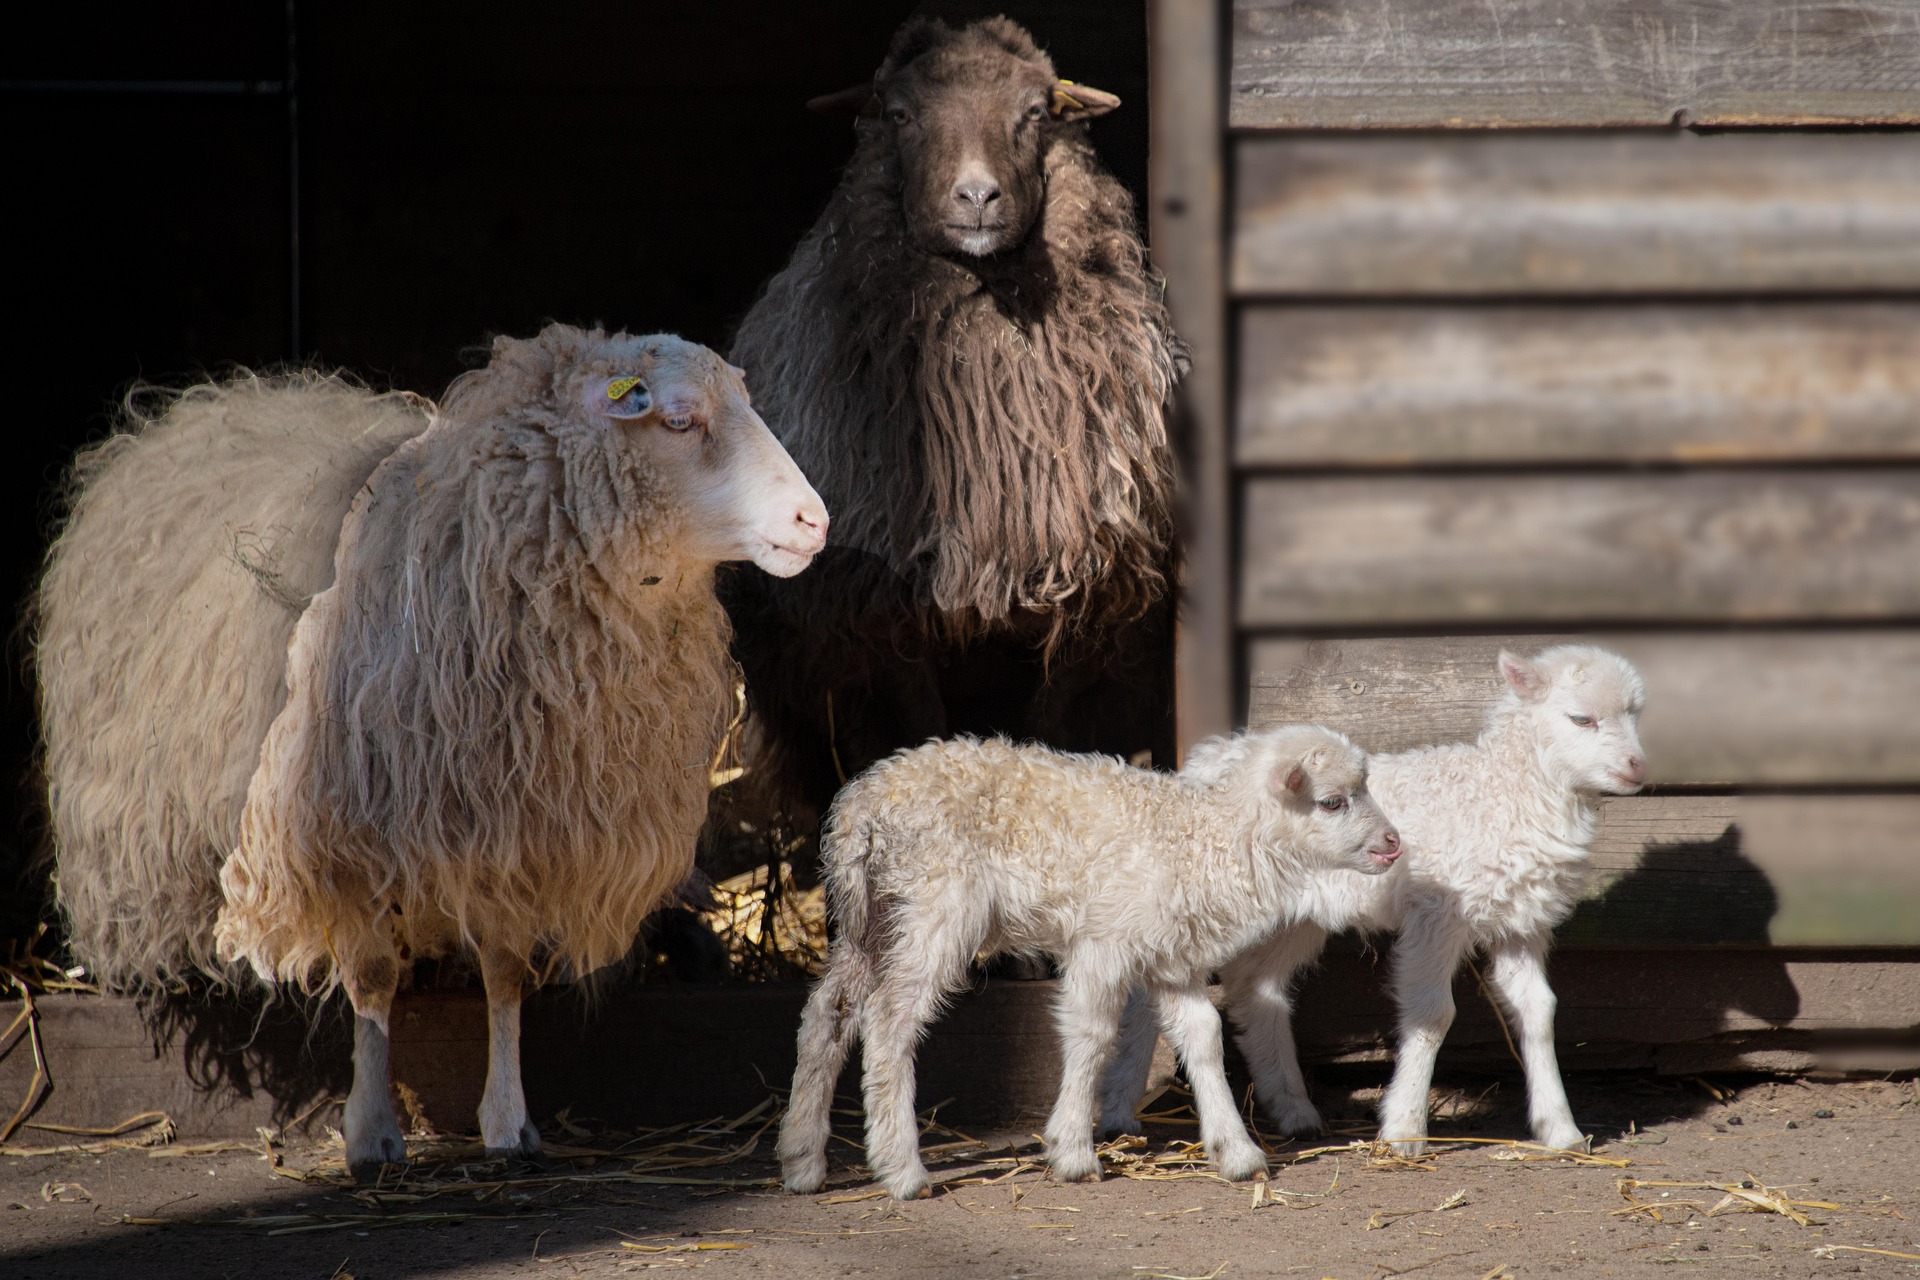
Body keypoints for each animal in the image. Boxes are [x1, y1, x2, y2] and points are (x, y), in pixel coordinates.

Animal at [209, 324, 829, 1178]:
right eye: (678, 421)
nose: (815, 521)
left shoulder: (521, 831)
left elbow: (503, 976)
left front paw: (509, 1121)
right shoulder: (353, 833)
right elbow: (371, 976)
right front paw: (370, 1133)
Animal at [725, 16, 1186, 838]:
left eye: (1035, 111)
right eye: (901, 113)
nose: (977, 194)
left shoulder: (1088, 596)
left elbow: (1048, 730)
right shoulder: (884, 614)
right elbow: (919, 728)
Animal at [777, 726, 1403, 1201]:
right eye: (1332, 801)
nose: (1394, 844)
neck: (1200, 840)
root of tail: (862, 805)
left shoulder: (1170, 956)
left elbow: (1204, 1036)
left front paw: (1237, 1150)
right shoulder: (1104, 942)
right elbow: (1093, 1035)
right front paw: (1074, 1150)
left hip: (873, 916)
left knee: (828, 1013)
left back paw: (803, 1159)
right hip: (936, 903)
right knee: (889, 1021)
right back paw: (903, 1170)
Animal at [1099, 646, 1649, 1156]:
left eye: (1635, 713)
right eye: (1581, 718)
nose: (1638, 766)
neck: (1503, 792)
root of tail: (1205, 760)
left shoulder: (1521, 920)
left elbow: (1539, 1010)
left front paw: (1561, 1129)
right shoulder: (1437, 913)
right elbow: (1433, 1014)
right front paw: (1404, 1129)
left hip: (1293, 918)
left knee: (1255, 988)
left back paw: (1294, 1111)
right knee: (1153, 995)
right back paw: (1120, 1111)